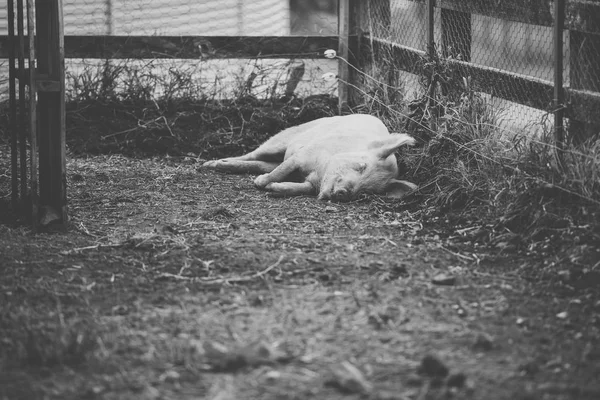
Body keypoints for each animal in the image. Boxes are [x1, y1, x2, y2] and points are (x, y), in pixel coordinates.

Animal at [202, 113, 418, 202]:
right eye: (361, 166)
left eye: (368, 191)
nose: (344, 193)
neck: (319, 173)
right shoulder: (302, 155)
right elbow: (283, 169)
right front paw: (260, 184)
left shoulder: (311, 182)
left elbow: (298, 187)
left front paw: (272, 188)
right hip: (281, 140)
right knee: (254, 154)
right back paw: (210, 165)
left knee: (262, 164)